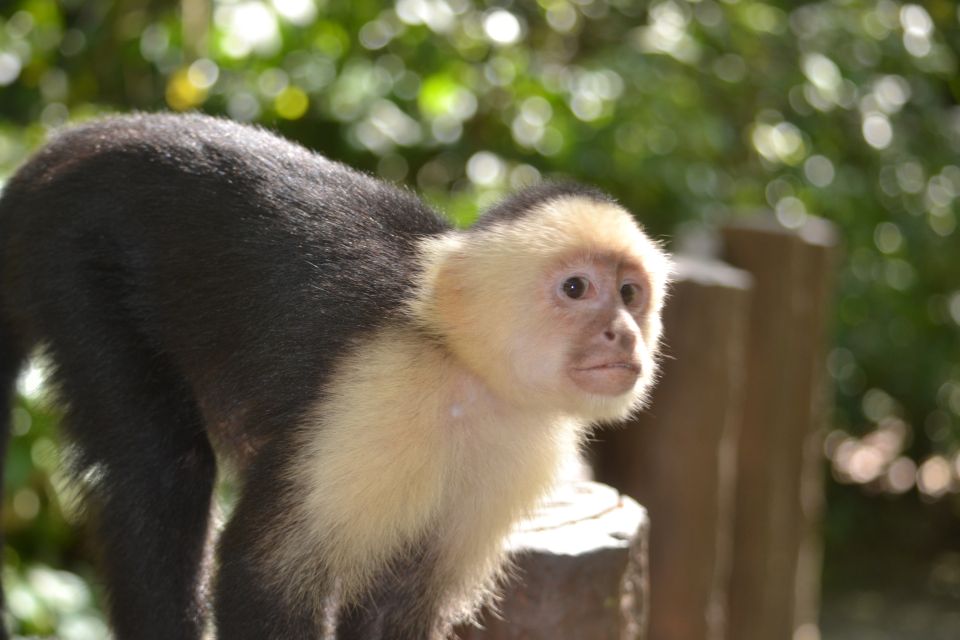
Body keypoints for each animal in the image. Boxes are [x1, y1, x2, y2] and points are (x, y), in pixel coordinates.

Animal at [0, 112, 668, 636]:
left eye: (629, 294)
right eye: (576, 289)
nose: (622, 334)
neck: (466, 372)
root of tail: (93, 135)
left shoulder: (521, 450)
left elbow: (401, 604)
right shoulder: (381, 389)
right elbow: (264, 576)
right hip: (75, 259)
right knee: (162, 470)